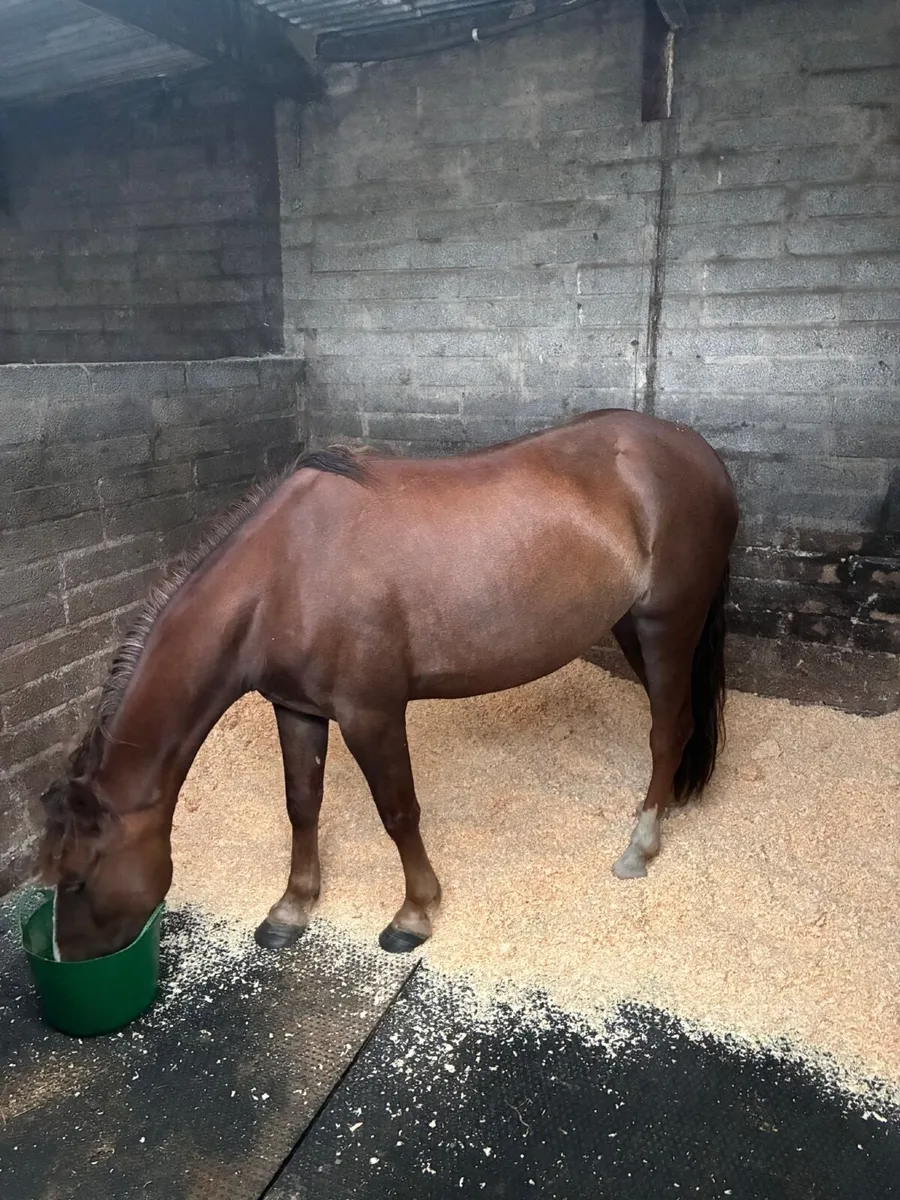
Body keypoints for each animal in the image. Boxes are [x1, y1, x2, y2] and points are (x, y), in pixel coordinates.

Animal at [39, 408, 738, 962]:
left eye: (76, 880)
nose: (69, 958)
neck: (280, 576)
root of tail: (700, 452)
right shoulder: (295, 708)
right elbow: (302, 803)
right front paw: (291, 909)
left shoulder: (370, 713)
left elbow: (398, 812)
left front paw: (414, 915)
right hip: (629, 625)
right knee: (675, 726)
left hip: (668, 623)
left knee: (668, 728)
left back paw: (639, 848)